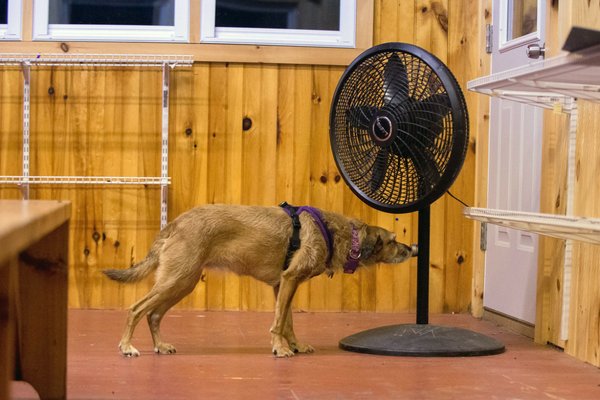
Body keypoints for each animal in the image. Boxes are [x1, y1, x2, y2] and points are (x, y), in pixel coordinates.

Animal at [103, 205, 414, 358]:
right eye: (392, 241)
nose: (412, 249)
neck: (336, 233)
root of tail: (174, 223)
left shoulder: (283, 284)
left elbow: (288, 321)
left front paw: (294, 345)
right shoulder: (289, 279)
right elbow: (278, 322)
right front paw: (280, 348)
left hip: (181, 282)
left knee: (153, 315)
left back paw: (161, 345)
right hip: (177, 279)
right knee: (136, 309)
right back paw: (127, 347)